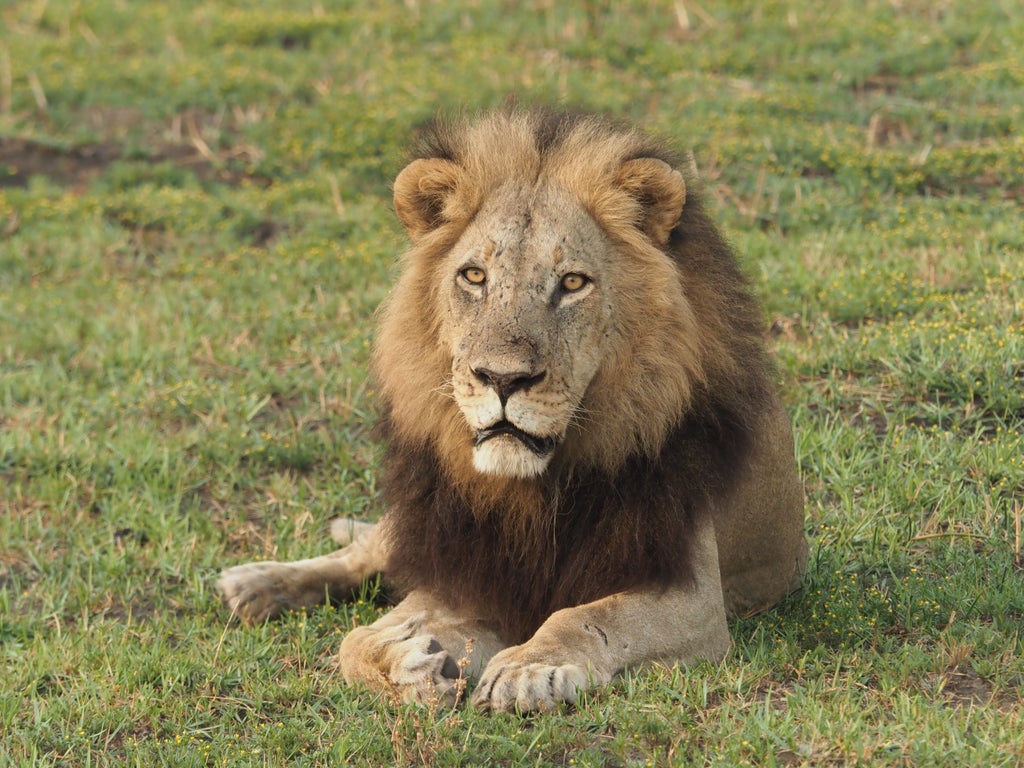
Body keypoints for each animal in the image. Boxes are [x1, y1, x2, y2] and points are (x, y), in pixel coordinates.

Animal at [218, 108, 806, 716]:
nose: (502, 379)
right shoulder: (475, 570)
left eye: (572, 283)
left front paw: (527, 668)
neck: (532, 490)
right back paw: (256, 583)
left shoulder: (691, 594)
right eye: (474, 276)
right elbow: (356, 642)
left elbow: (586, 616)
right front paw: (410, 662)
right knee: (367, 552)